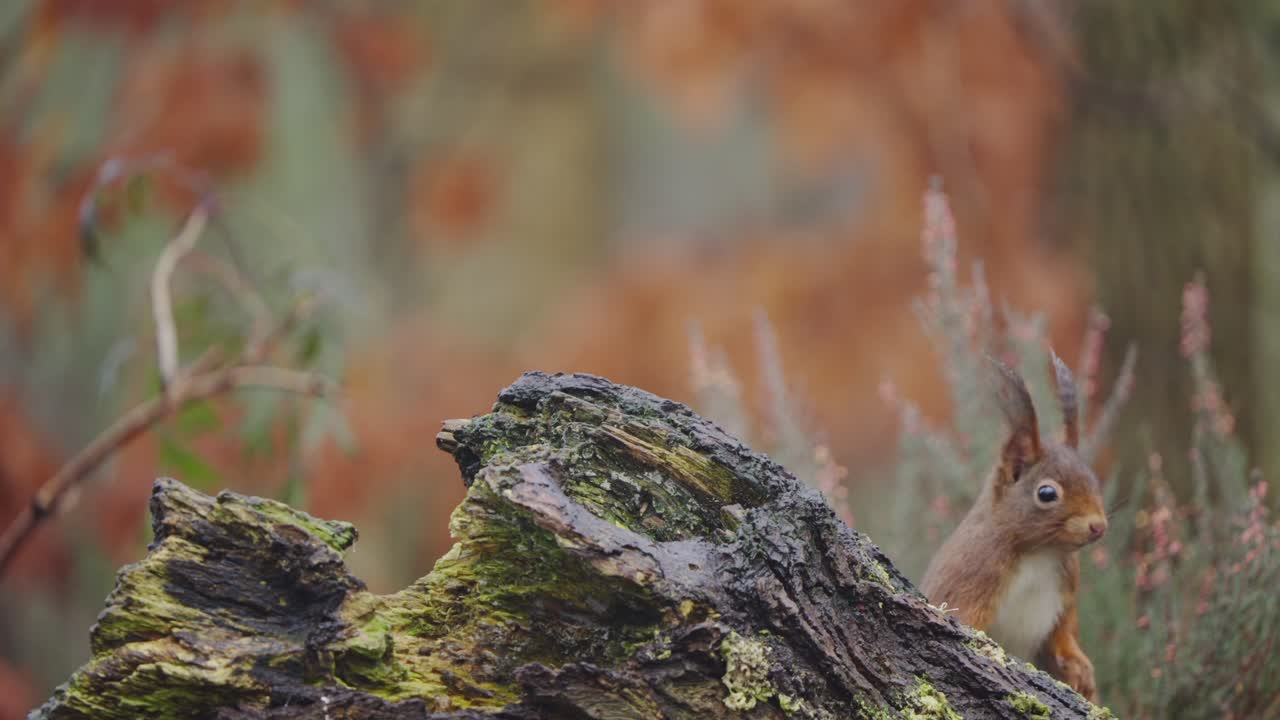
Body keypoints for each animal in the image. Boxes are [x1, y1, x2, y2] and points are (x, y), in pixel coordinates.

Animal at [920, 351, 1107, 702]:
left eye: (1093, 480)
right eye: (1046, 494)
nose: (1098, 526)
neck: (1039, 553)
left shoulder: (1065, 586)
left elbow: (1062, 635)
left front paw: (1080, 667)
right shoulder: (974, 575)